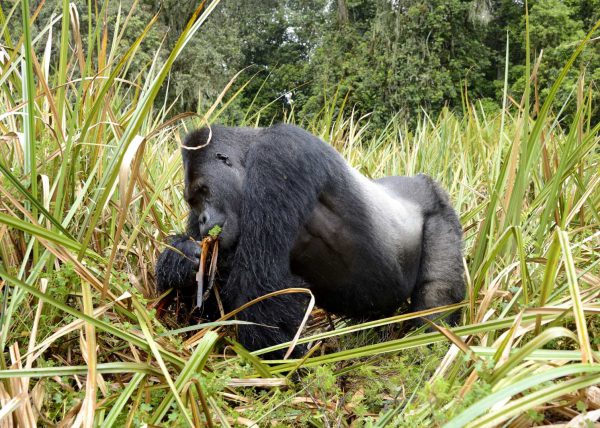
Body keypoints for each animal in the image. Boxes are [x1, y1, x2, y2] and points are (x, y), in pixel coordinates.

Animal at [156, 125, 464, 356]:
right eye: (193, 202)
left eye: (204, 191)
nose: (203, 219)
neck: (251, 149)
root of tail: (423, 181)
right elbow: (207, 302)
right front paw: (181, 260)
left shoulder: (280, 156)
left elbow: (259, 286)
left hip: (440, 208)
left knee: (436, 293)